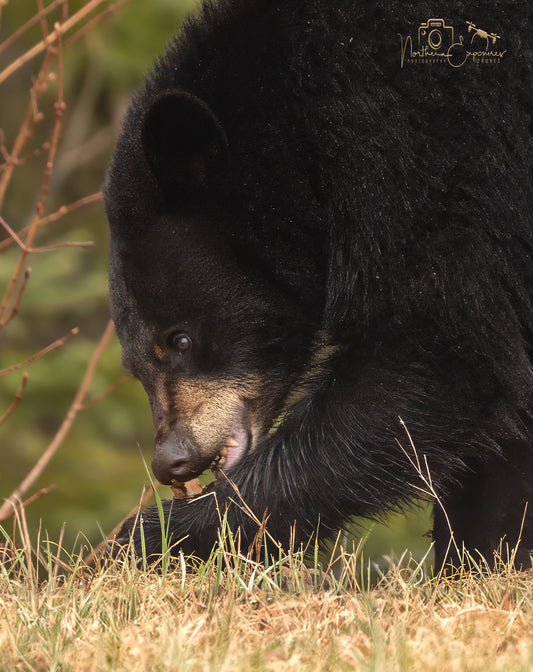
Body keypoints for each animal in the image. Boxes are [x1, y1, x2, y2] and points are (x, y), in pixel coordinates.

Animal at [103, 0, 533, 569]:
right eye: (134, 367)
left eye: (181, 339)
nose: (170, 459)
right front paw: (486, 552)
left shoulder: (449, 167)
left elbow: (435, 360)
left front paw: (148, 538)